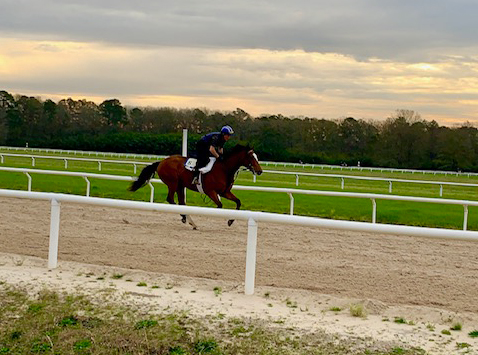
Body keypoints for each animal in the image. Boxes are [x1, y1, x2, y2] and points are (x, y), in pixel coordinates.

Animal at [128, 144, 262, 229]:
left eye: (257, 157)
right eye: (251, 157)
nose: (260, 171)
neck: (224, 168)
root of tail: (161, 162)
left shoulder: (224, 192)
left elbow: (238, 202)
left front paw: (230, 220)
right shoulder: (210, 191)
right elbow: (219, 205)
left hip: (180, 186)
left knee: (181, 202)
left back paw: (190, 221)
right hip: (173, 183)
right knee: (171, 199)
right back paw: (185, 218)